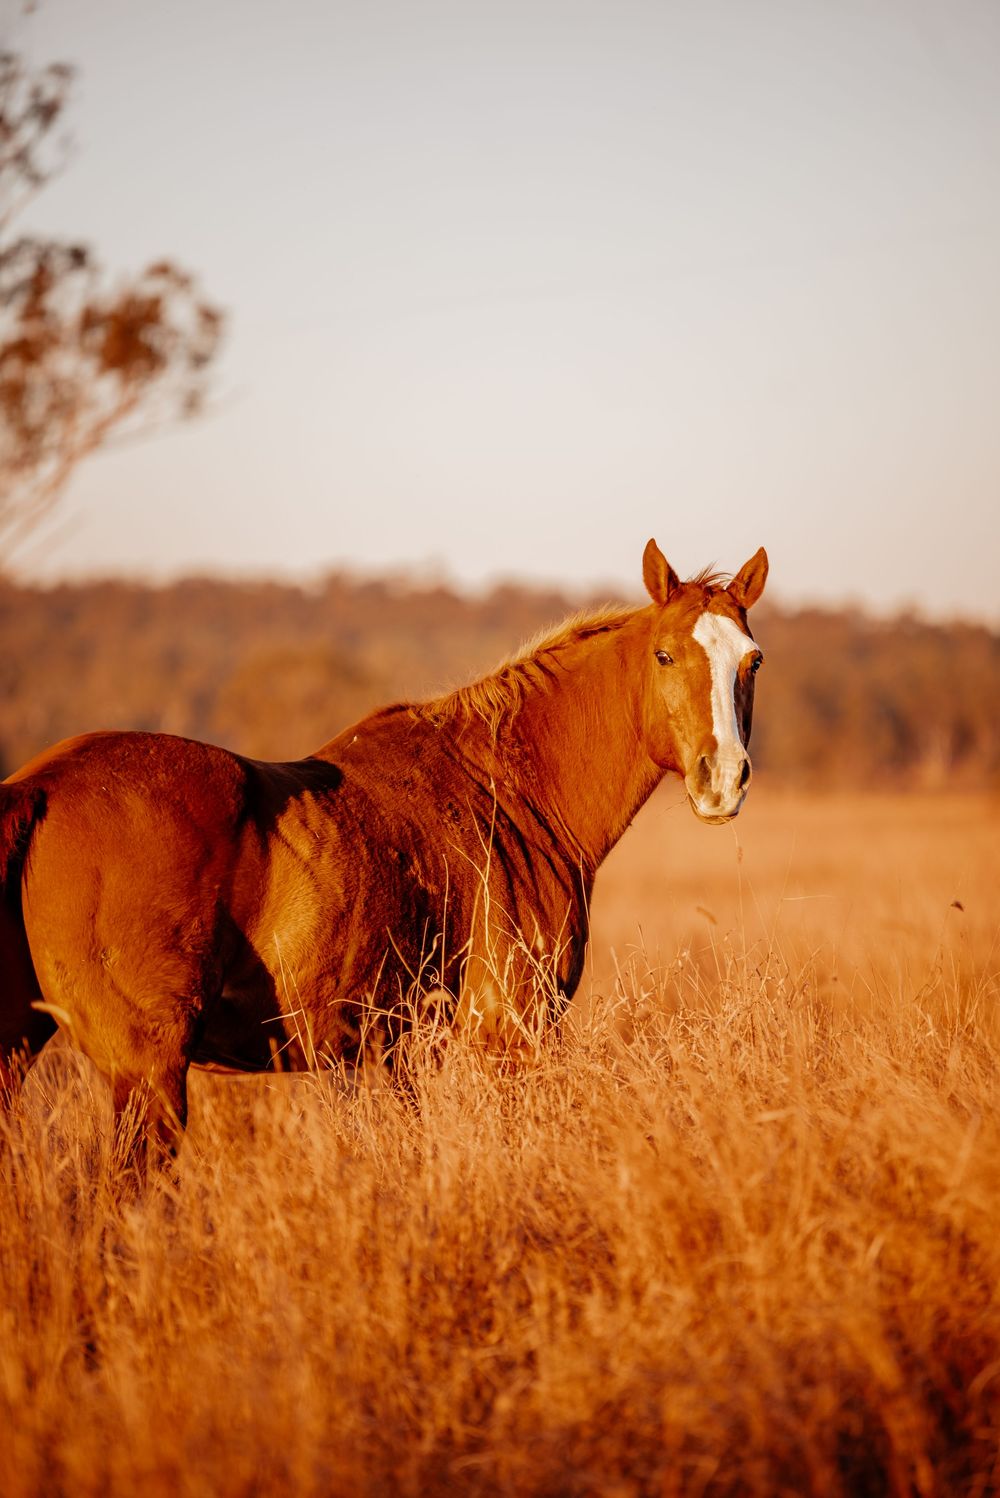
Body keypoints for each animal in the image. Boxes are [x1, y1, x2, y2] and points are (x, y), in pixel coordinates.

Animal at [0, 539, 767, 1170]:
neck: (505, 786)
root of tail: (42, 785)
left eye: (752, 661)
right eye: (665, 654)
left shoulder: (393, 1055)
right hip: (147, 1077)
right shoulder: (510, 1039)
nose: (723, 778)